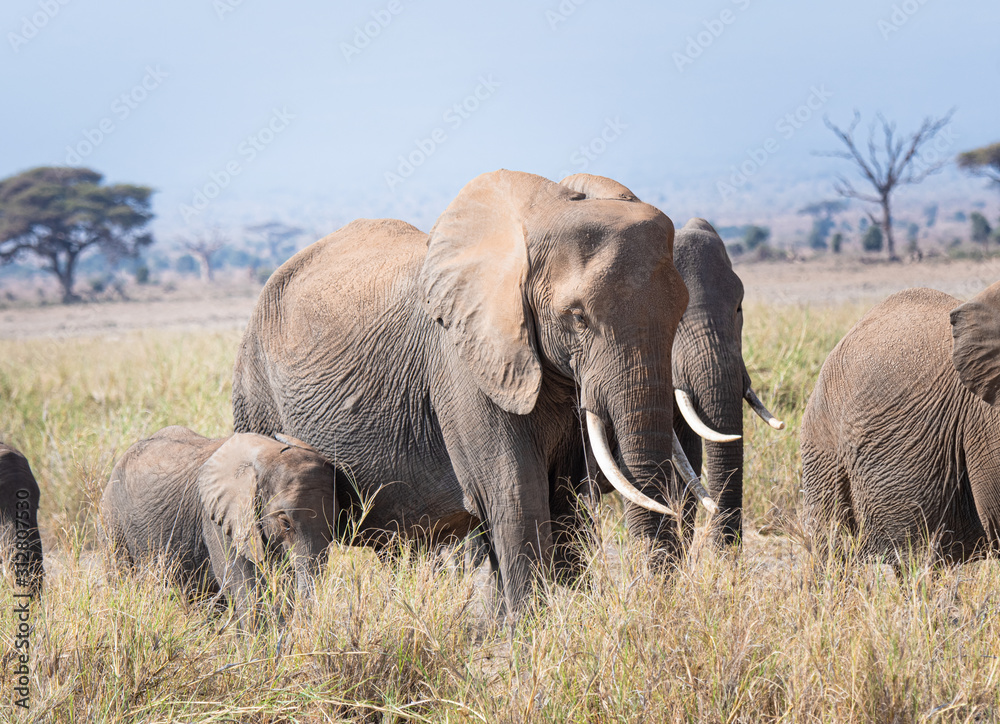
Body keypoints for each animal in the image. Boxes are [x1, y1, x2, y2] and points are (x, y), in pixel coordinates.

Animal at [231, 170, 716, 616]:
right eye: (577, 317)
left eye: (679, 313)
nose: (655, 604)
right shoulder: (462, 363)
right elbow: (516, 495)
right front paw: (532, 630)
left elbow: (565, 497)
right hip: (255, 389)